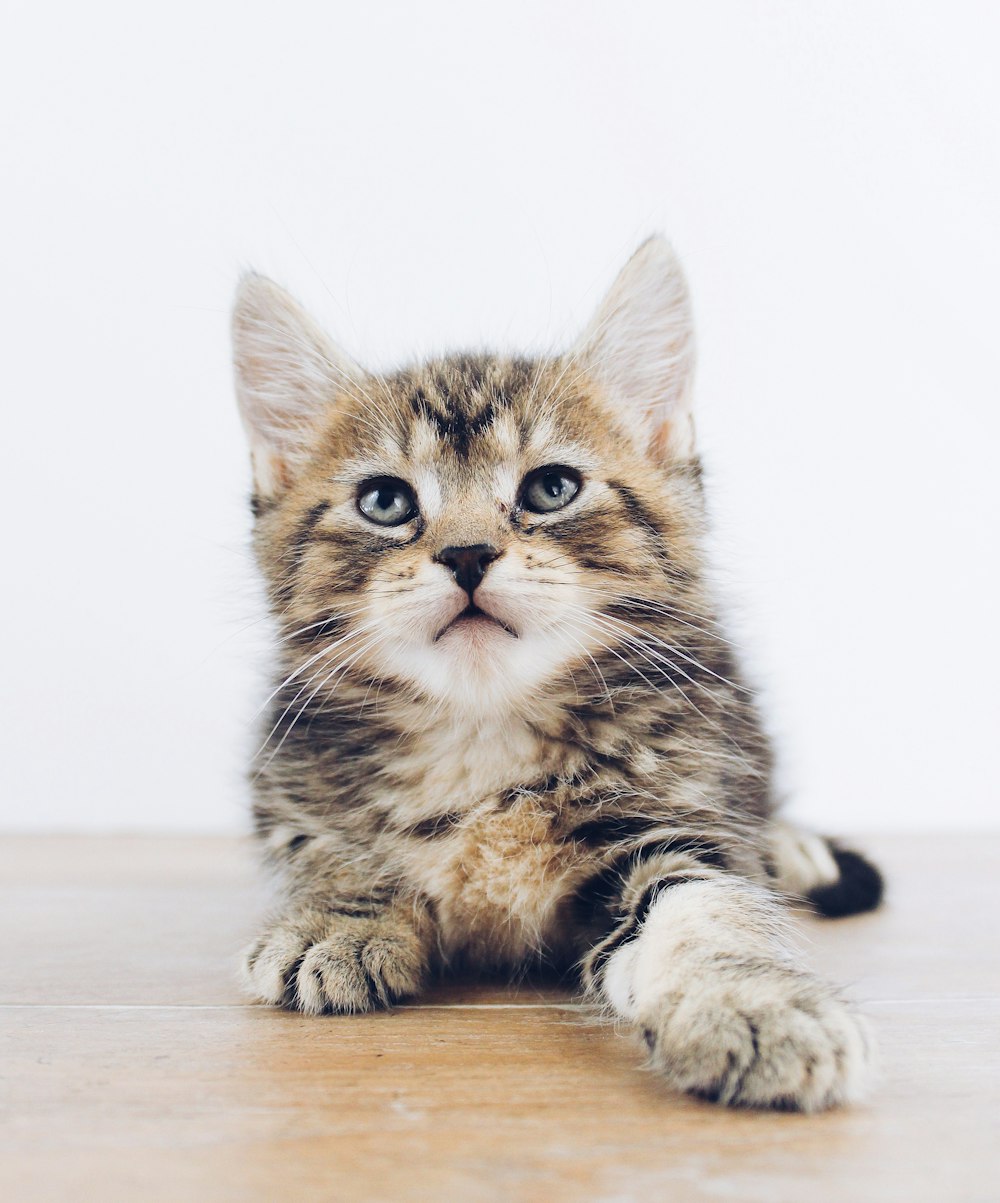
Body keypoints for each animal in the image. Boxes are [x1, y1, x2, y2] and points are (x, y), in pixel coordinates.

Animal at [232, 239, 885, 1111]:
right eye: (385, 501)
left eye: (551, 488)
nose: (467, 552)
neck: (478, 730)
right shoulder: (285, 776)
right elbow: (321, 847)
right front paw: (337, 913)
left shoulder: (665, 805)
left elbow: (703, 902)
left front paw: (754, 1002)